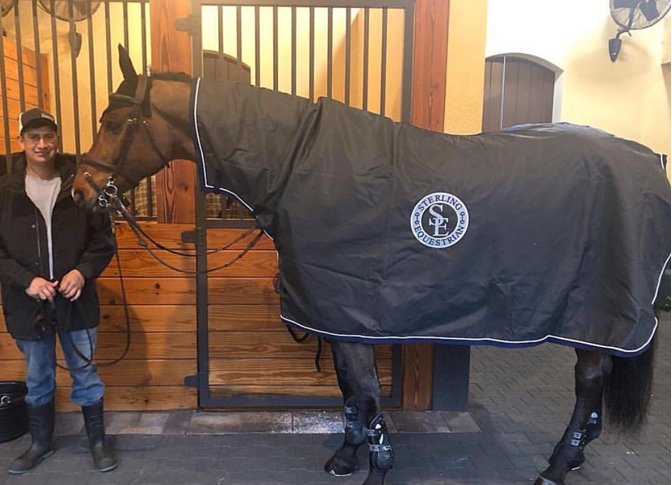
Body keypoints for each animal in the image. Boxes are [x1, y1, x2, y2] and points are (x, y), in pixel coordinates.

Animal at [72, 45, 670, 485]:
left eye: (114, 120)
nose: (80, 191)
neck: (296, 162)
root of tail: (647, 160)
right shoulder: (335, 319)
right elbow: (349, 392)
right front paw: (347, 453)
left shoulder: (349, 315)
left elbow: (364, 389)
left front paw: (373, 462)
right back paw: (577, 453)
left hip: (596, 319)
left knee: (588, 383)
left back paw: (557, 466)